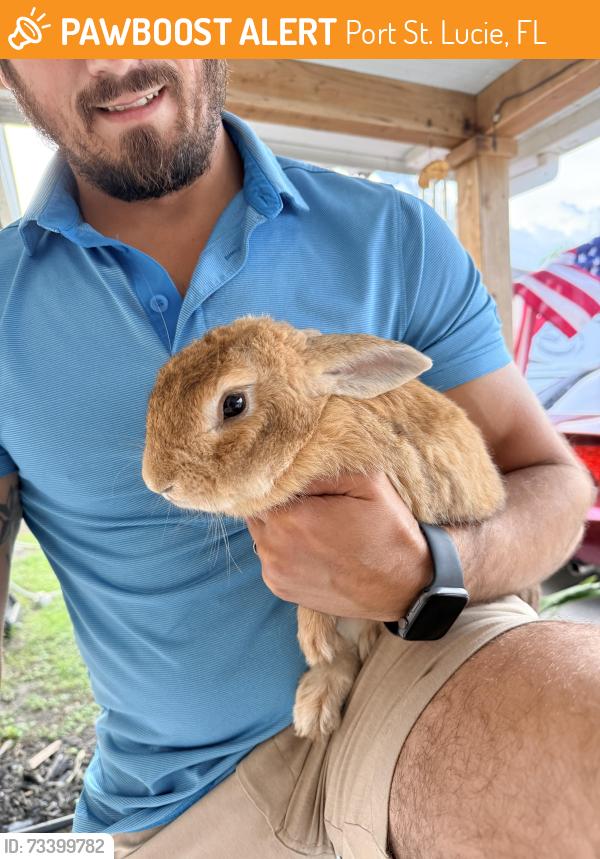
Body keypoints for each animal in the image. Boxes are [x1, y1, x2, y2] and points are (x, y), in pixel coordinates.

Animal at [141, 316, 506, 741]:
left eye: (234, 404)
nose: (156, 481)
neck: (315, 425)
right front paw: (315, 646)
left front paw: (312, 638)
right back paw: (313, 711)